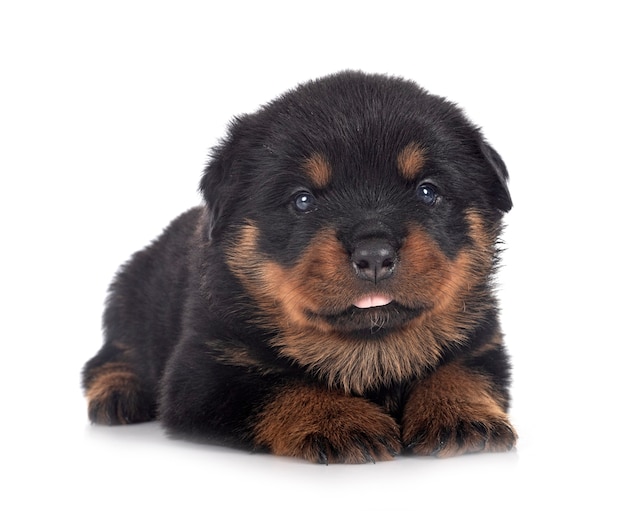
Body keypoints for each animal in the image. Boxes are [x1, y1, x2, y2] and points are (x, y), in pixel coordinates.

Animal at [83, 71, 516, 464]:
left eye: (427, 191)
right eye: (303, 200)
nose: (374, 255)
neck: (369, 348)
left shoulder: (483, 340)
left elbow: (463, 370)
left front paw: (462, 415)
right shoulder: (207, 366)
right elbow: (276, 385)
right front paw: (340, 419)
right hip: (130, 296)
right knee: (112, 355)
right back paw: (118, 393)